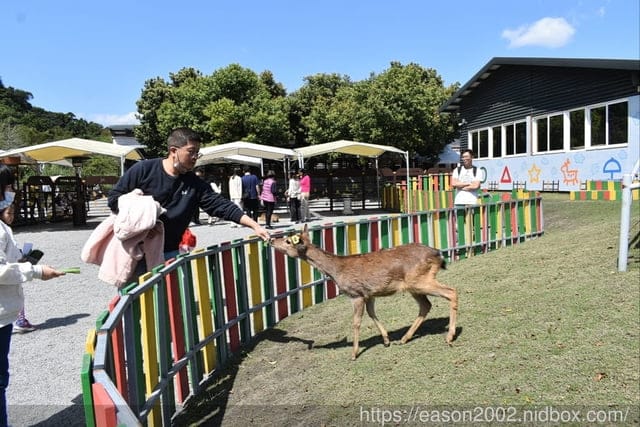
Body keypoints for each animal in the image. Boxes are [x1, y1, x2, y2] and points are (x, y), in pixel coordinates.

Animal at [270, 224, 458, 360]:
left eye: (288, 241)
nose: (271, 240)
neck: (336, 271)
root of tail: (438, 255)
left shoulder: (356, 294)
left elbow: (356, 322)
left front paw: (354, 354)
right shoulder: (369, 294)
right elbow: (372, 313)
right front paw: (386, 340)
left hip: (419, 280)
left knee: (451, 291)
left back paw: (449, 336)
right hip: (414, 286)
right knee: (426, 305)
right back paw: (405, 338)